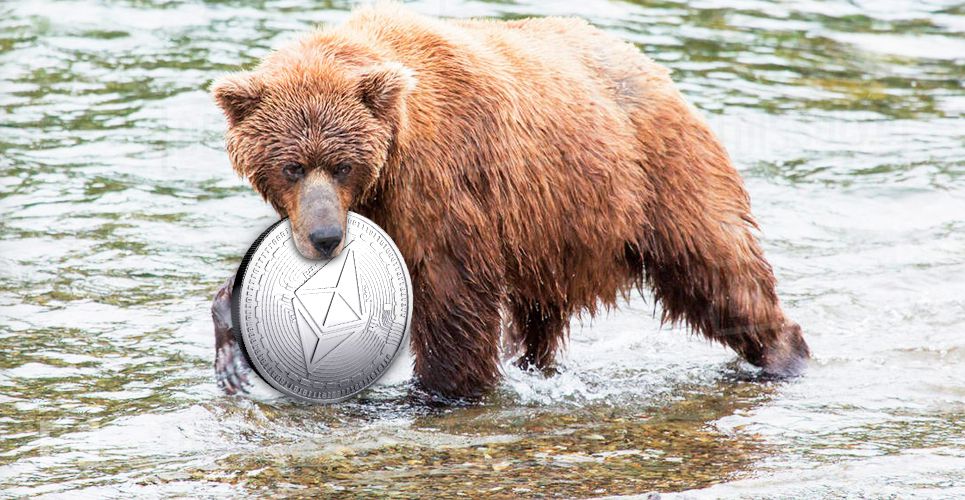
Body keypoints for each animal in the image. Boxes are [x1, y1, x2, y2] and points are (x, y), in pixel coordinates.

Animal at [209, 4, 810, 399]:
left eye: (342, 164)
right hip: (552, 229)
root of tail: (654, 69)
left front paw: (441, 390)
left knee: (718, 270)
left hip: (658, 178)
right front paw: (230, 344)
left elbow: (451, 295)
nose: (325, 237)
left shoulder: (438, 185)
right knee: (541, 313)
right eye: (291, 165)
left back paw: (784, 353)